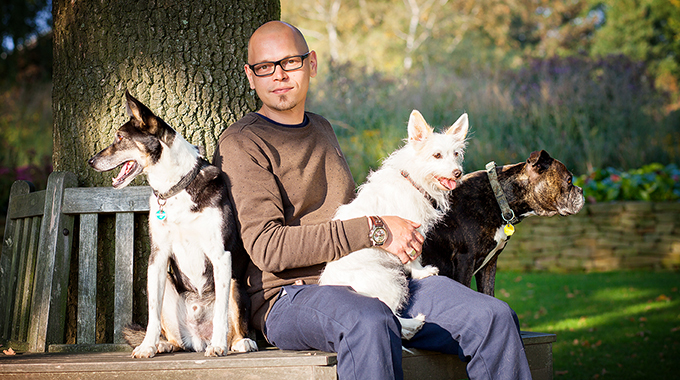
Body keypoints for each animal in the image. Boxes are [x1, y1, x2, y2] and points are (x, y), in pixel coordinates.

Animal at [88, 90, 258, 358]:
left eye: (120, 137)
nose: (91, 161)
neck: (175, 188)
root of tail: (199, 340)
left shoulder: (220, 256)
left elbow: (222, 313)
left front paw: (219, 346)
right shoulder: (157, 257)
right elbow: (152, 315)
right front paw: (147, 346)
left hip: (233, 283)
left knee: (234, 326)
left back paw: (238, 343)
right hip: (168, 282)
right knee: (175, 338)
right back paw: (164, 344)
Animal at [318, 110, 468, 338]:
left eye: (456, 154)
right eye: (437, 155)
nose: (457, 173)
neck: (414, 181)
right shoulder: (411, 233)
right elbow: (414, 258)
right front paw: (422, 272)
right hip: (390, 282)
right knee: (391, 315)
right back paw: (413, 324)